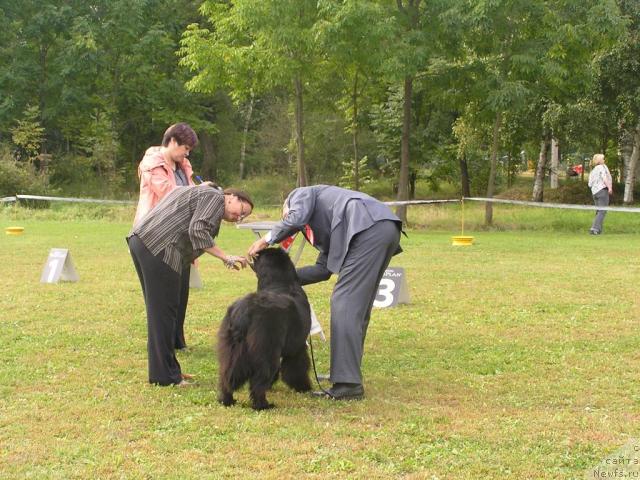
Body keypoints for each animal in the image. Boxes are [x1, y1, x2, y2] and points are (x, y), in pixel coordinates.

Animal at [216, 248, 314, 408]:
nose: (257, 251)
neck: (280, 284)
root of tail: (245, 311)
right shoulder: (297, 347)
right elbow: (297, 368)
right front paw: (303, 387)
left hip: (232, 348)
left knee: (227, 375)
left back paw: (227, 400)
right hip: (266, 348)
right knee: (259, 378)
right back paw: (263, 405)